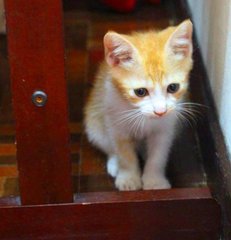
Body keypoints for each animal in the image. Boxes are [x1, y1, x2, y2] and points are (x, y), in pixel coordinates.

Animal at [85, 19, 193, 190]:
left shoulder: (165, 130)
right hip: (95, 123)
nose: (160, 111)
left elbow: (158, 156)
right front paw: (128, 178)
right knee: (107, 144)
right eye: (140, 92)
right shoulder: (116, 124)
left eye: (173, 87)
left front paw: (154, 181)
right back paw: (114, 163)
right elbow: (124, 154)